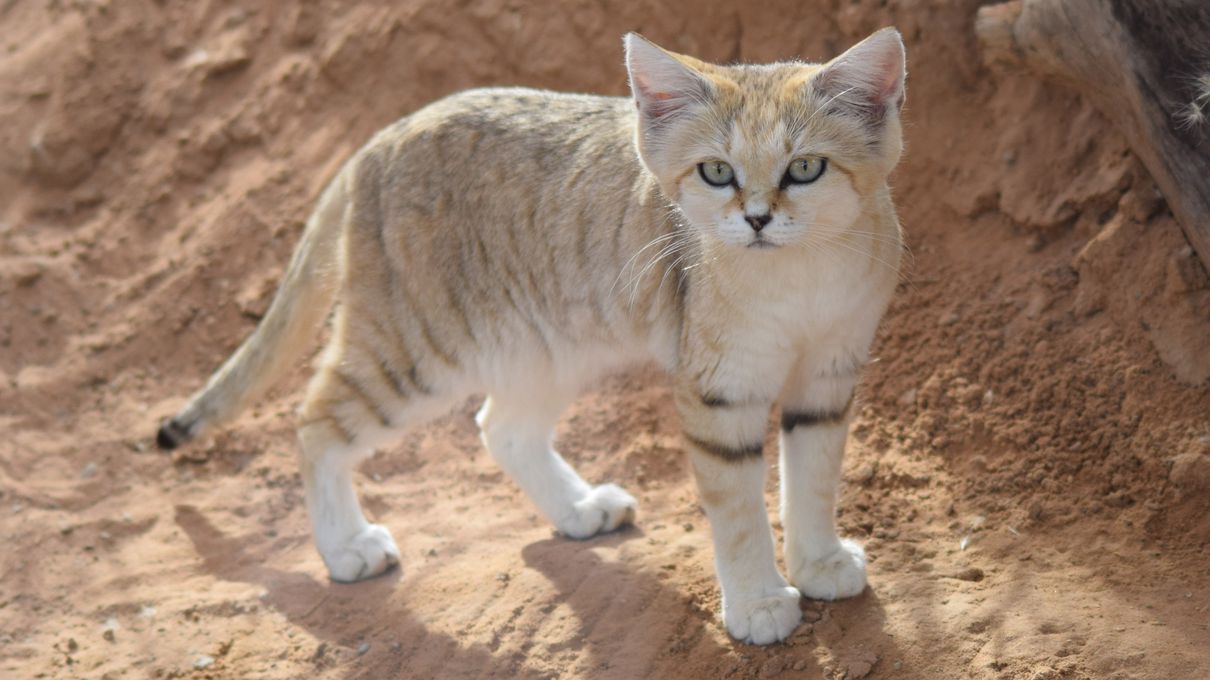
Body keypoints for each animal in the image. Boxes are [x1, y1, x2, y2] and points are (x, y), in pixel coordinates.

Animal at [156, 25, 905, 638]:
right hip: (416, 352)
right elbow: (739, 510)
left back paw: (577, 509)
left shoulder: (829, 375)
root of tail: (384, 134)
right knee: (315, 423)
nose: (755, 219)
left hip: (547, 346)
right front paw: (757, 603)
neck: (799, 280)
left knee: (501, 427)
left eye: (804, 168)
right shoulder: (720, 392)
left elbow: (813, 478)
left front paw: (819, 563)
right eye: (716, 172)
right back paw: (346, 548)